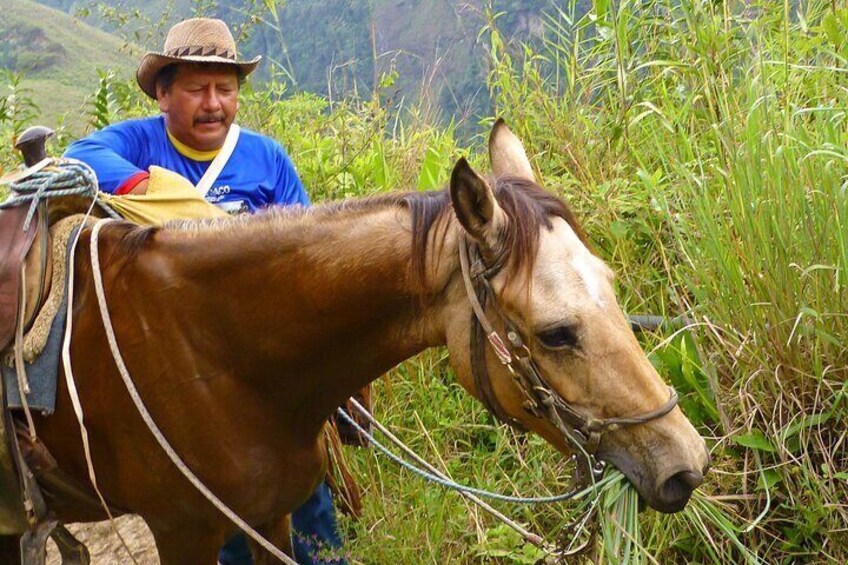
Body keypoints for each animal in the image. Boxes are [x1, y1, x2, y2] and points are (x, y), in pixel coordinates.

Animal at [0, 121, 708, 560]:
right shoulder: (183, 533)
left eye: (610, 287)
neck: (210, 349)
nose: (688, 464)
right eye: (556, 333)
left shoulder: (269, 517)